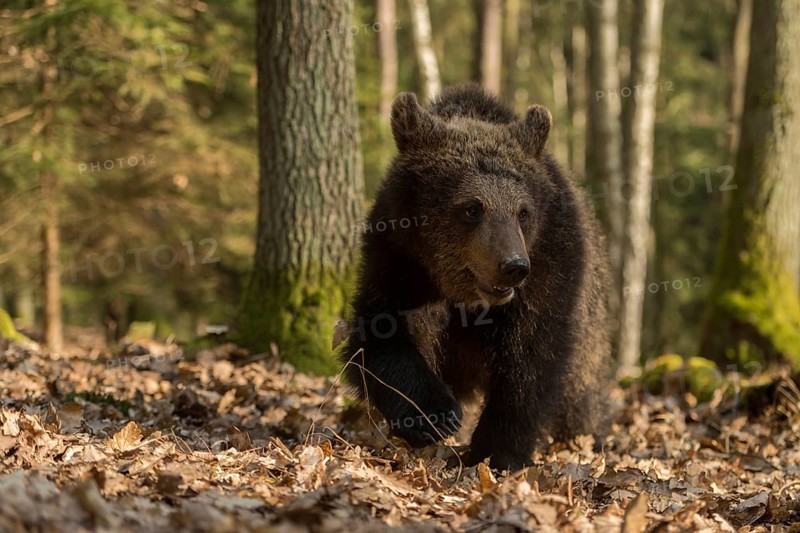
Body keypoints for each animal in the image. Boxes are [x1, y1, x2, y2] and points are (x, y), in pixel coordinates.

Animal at [340, 85, 611, 471]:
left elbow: (532, 355)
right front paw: (434, 416)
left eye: (523, 212)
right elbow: (383, 332)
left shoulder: (552, 262)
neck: (464, 295)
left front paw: (497, 450)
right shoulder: (399, 258)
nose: (513, 265)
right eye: (472, 207)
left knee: (581, 396)